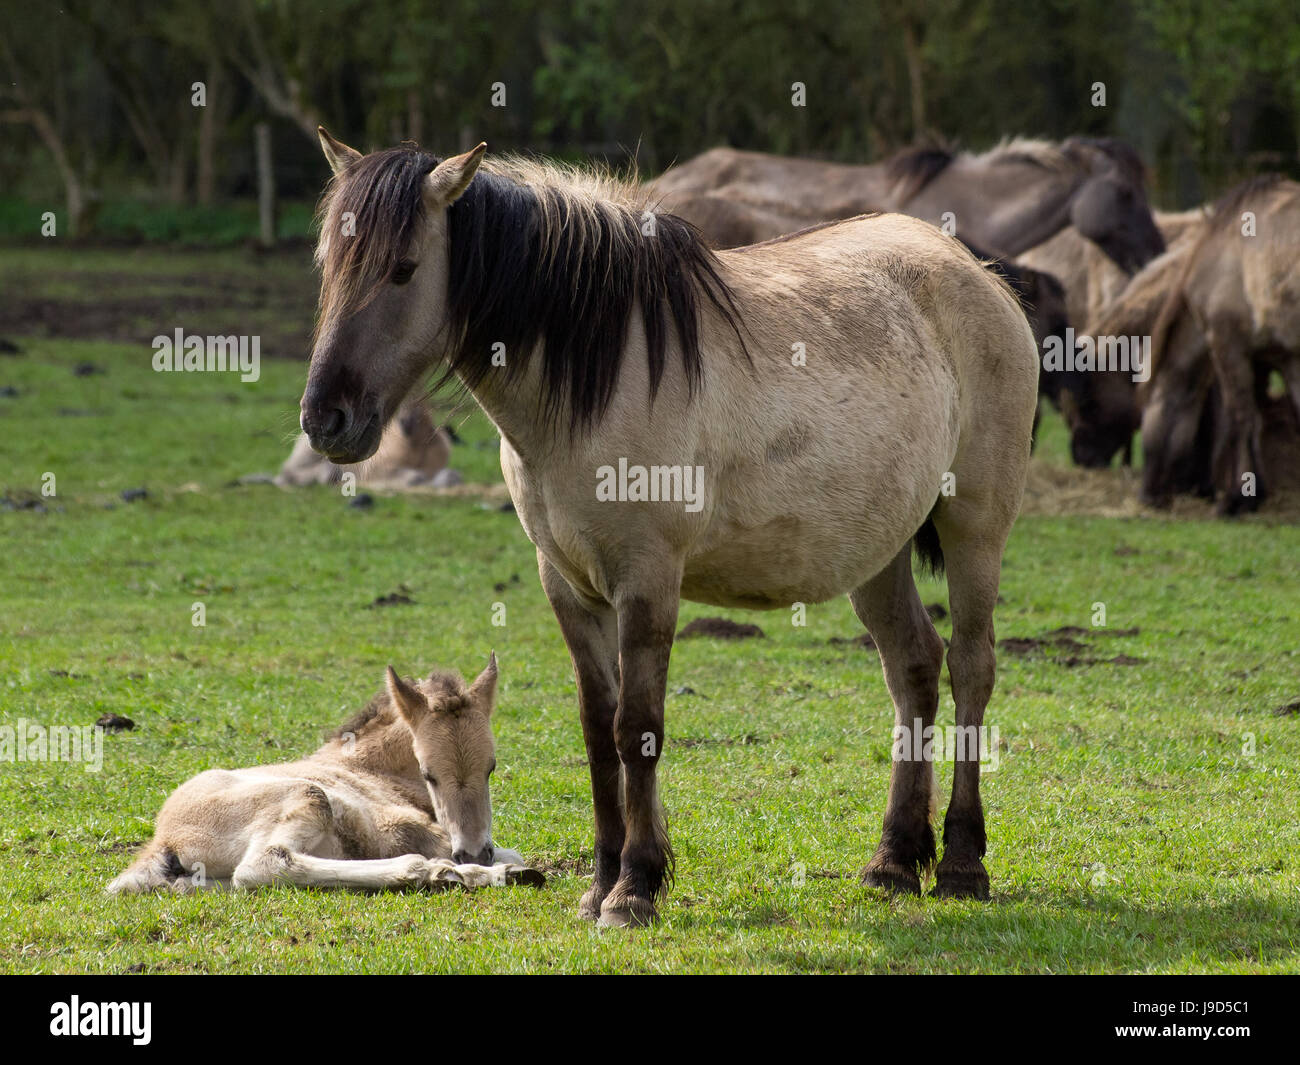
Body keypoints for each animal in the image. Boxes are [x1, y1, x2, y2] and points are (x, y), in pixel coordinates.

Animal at [107, 656, 542, 893]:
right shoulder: (394, 827)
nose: (473, 852)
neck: (370, 767)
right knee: (263, 867)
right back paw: (440, 872)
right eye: (429, 773)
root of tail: (163, 839)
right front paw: (484, 866)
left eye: (491, 767)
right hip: (307, 795)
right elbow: (502, 850)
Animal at [299, 129, 1039, 926]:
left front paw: (636, 887)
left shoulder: (648, 580)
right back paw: (895, 860)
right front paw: (600, 884)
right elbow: (599, 731)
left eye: (404, 269)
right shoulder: (568, 585)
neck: (595, 377)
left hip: (975, 529)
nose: (325, 418)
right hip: (877, 553)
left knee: (970, 667)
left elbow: (638, 728)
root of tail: (977, 272)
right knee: (913, 669)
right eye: (330, 262)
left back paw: (962, 861)